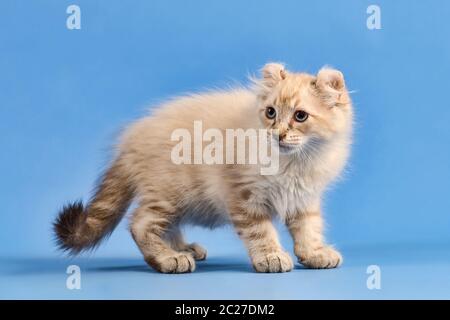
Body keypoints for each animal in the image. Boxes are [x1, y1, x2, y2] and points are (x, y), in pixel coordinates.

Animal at [54, 62, 354, 272]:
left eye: (300, 116)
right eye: (271, 113)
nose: (277, 134)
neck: (295, 162)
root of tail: (133, 138)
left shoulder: (305, 198)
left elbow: (309, 229)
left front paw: (314, 254)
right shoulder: (245, 196)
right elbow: (261, 231)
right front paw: (271, 256)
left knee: (165, 226)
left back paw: (183, 249)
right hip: (170, 192)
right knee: (141, 224)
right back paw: (169, 258)